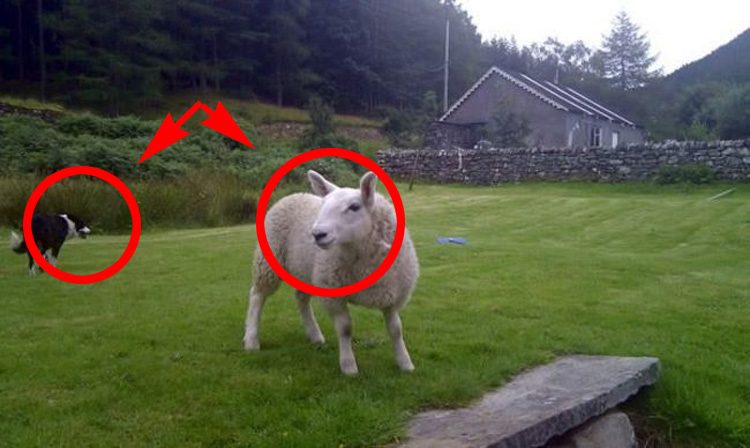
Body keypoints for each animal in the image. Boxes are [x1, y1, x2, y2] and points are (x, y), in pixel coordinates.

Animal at [242, 170, 419, 375]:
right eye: (323, 205)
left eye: (354, 207)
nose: (318, 234)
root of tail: (294, 195)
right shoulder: (333, 293)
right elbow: (345, 328)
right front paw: (349, 366)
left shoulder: (391, 295)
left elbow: (396, 329)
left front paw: (405, 363)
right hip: (268, 260)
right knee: (257, 296)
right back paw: (251, 340)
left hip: (306, 270)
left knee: (301, 299)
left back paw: (315, 335)